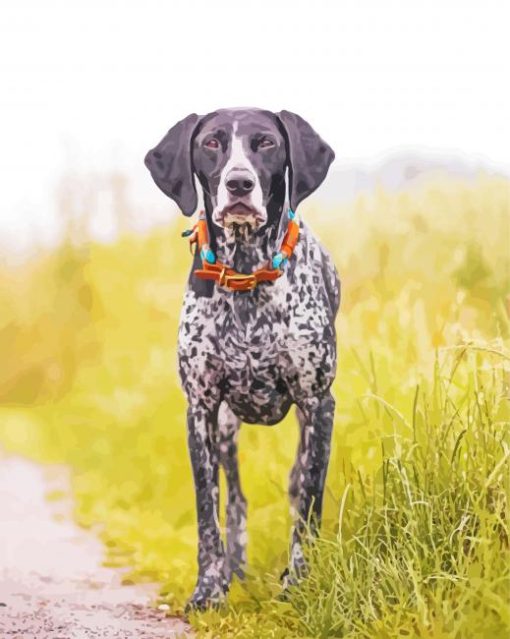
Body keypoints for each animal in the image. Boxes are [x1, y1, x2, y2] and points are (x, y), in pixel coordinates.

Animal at [145, 109, 340, 608]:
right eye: (211, 143)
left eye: (266, 143)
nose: (238, 184)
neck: (247, 273)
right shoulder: (200, 410)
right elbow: (207, 511)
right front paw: (209, 589)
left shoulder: (318, 403)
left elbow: (308, 503)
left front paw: (299, 580)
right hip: (228, 430)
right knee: (235, 499)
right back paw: (235, 568)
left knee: (295, 483)